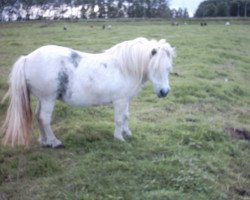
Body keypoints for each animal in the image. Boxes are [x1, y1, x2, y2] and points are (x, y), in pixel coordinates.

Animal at [0, 38, 175, 147]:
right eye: (155, 67)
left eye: (168, 68)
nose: (164, 92)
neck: (124, 67)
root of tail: (27, 58)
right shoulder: (119, 101)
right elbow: (119, 120)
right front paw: (119, 138)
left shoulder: (125, 100)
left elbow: (126, 117)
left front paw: (127, 133)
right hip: (48, 99)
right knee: (44, 118)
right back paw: (54, 142)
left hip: (43, 99)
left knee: (38, 117)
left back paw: (44, 141)